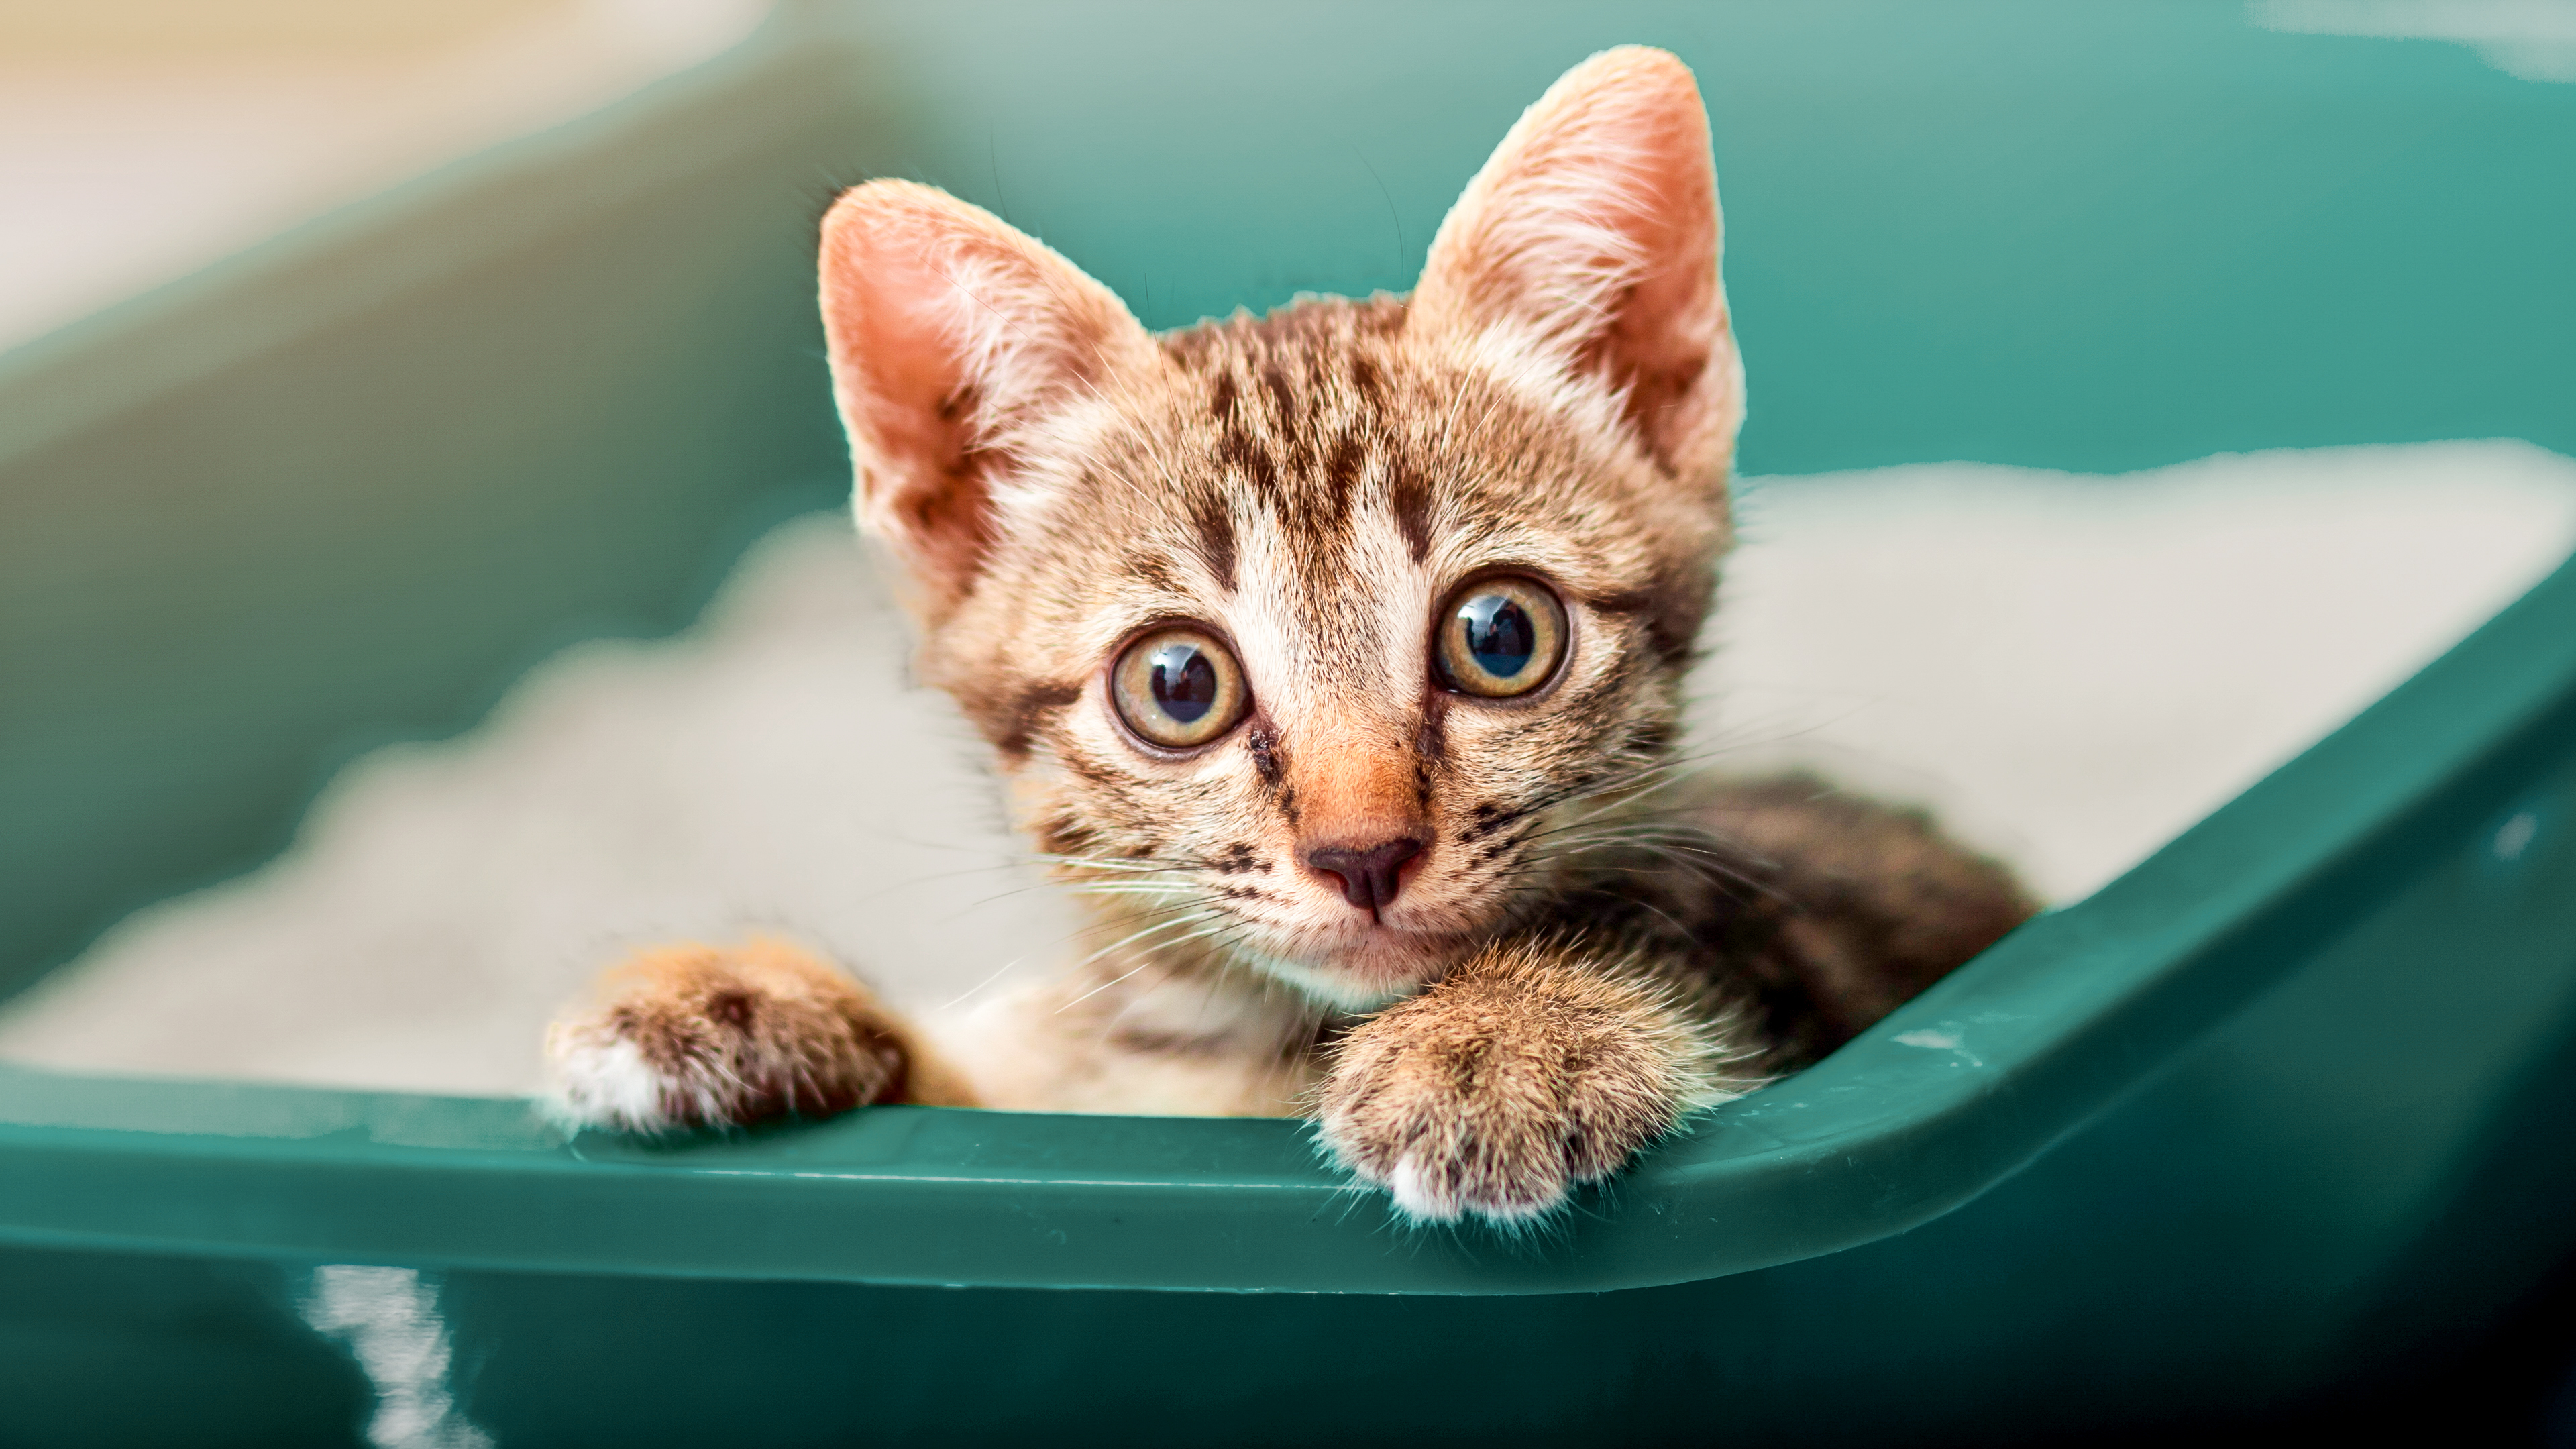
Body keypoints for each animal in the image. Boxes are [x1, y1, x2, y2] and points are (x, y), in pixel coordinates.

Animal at [543, 45, 2029, 1217]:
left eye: (1502, 637)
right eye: (1178, 683)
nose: (1362, 855)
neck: (1251, 1051)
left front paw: (1512, 1029)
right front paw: (751, 1000)